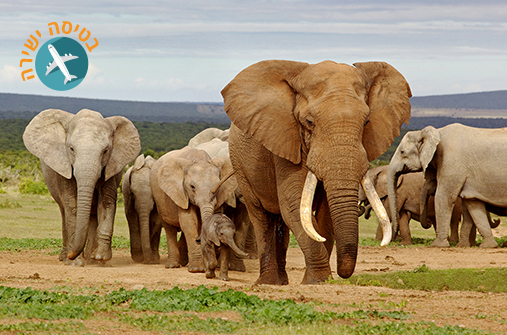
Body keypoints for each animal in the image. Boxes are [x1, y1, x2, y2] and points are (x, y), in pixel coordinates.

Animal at [23, 109, 140, 266]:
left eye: (105, 151)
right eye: (71, 149)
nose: (72, 255)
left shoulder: (111, 167)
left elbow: (106, 202)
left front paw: (101, 258)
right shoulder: (63, 166)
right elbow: (72, 205)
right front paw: (75, 262)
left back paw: (91, 260)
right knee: (64, 210)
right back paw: (66, 257)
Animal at [222, 59, 412, 284]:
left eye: (366, 122)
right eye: (309, 122)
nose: (342, 274)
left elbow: (325, 213)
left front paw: (320, 281)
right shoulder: (286, 142)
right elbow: (294, 204)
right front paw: (319, 280)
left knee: (280, 222)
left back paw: (283, 282)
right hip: (240, 165)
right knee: (261, 217)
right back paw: (268, 282)